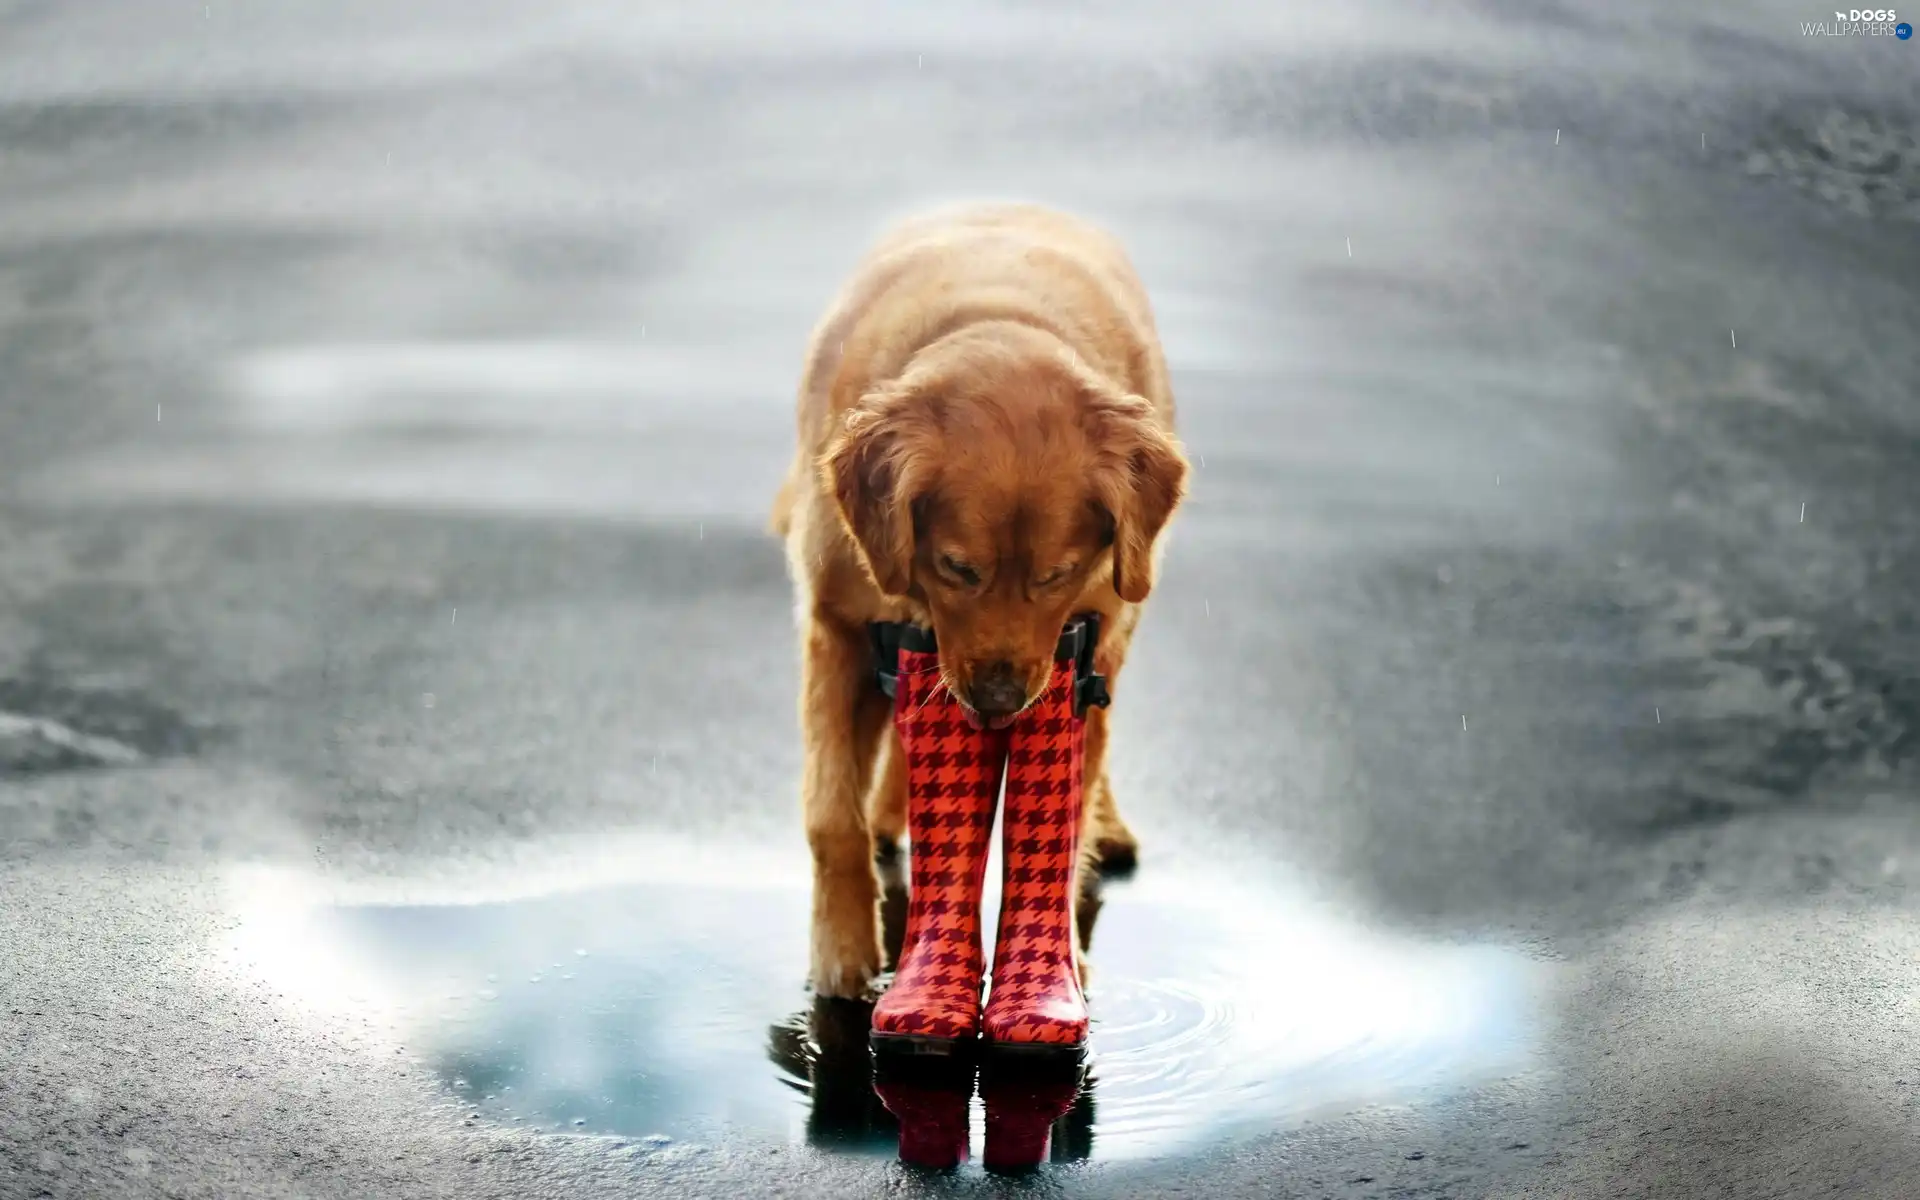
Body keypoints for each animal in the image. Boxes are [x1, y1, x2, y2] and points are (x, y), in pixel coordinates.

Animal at [764, 201, 1182, 998]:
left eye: (1056, 574)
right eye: (957, 568)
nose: (996, 703)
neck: (996, 321)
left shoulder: (1089, 644)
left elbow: (1063, 824)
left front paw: (1057, 964)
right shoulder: (835, 629)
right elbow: (831, 814)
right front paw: (841, 955)